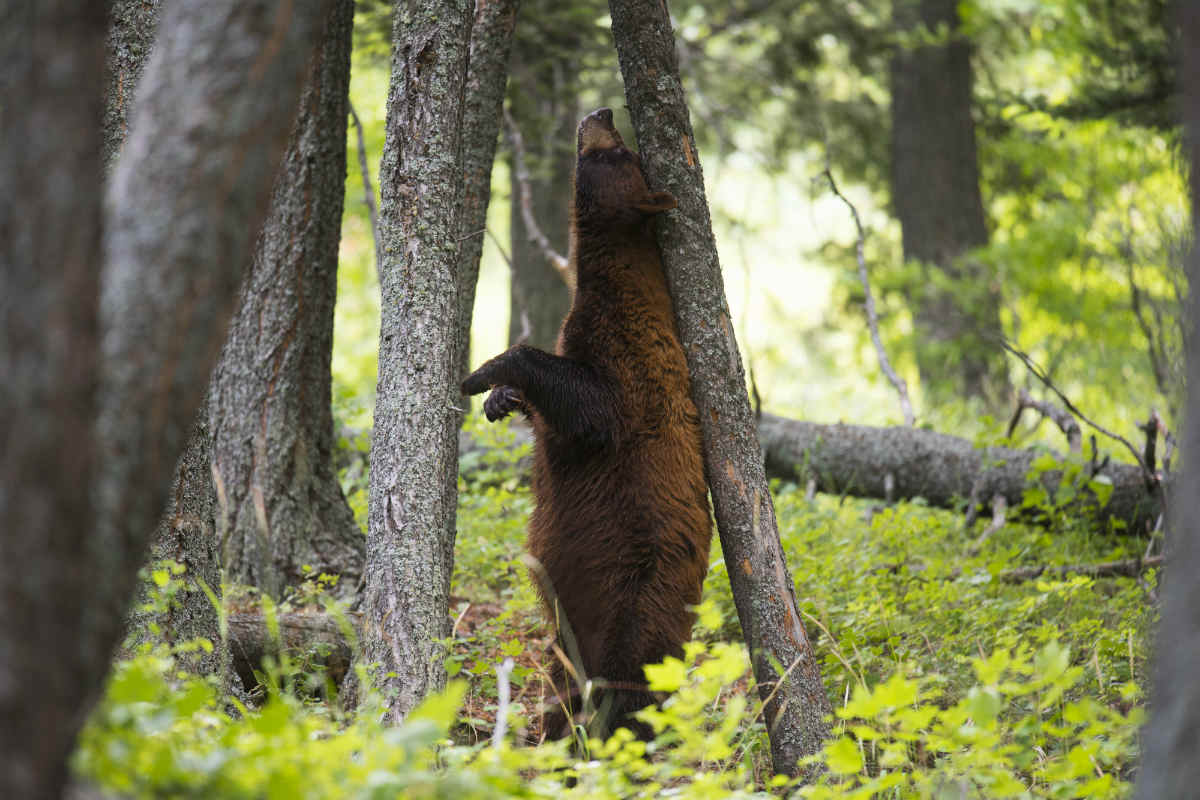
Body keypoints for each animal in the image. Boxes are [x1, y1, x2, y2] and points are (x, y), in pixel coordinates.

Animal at [460, 107, 710, 743]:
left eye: (616, 155)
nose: (601, 113)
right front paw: (500, 400)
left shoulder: (634, 365)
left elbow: (588, 410)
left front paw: (483, 374)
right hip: (569, 635)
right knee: (563, 681)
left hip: (636, 606)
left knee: (625, 689)